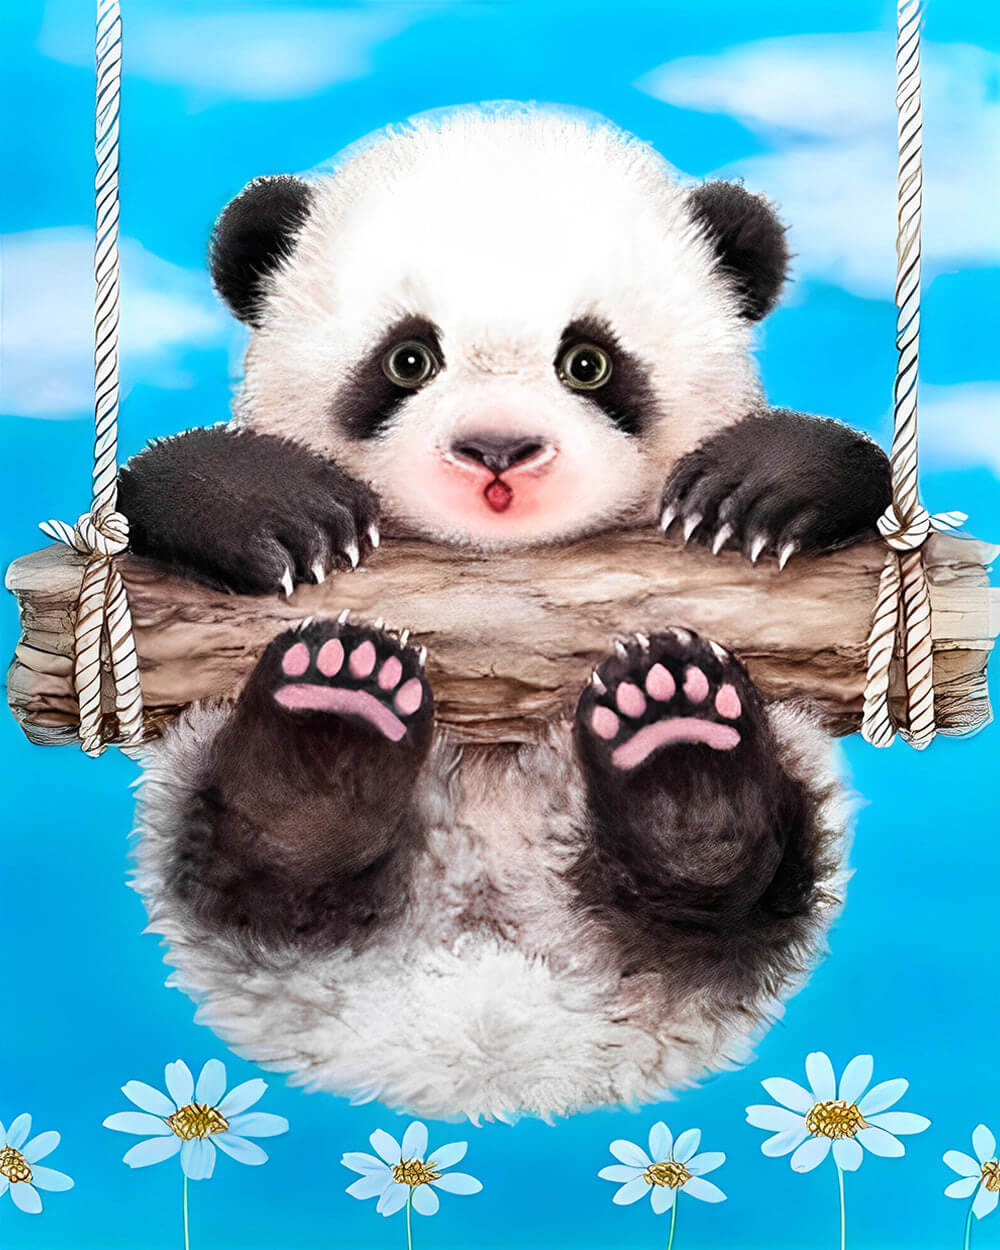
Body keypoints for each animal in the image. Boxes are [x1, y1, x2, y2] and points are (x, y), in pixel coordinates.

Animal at [119, 104, 890, 1122]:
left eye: (588, 362)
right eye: (408, 359)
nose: (497, 452)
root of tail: (495, 1020)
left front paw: (756, 490)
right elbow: (153, 491)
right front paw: (279, 514)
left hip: (784, 820)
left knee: (745, 889)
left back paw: (678, 748)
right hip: (196, 822)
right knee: (250, 873)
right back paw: (328, 728)